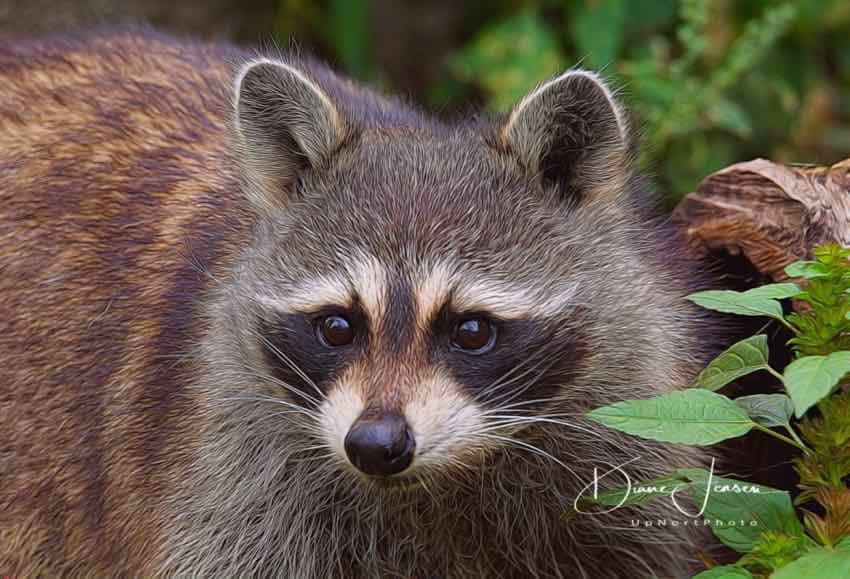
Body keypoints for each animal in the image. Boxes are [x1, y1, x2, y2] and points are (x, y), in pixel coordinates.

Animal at [1, 28, 708, 579]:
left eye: (471, 330)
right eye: (338, 326)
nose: (374, 443)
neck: (448, 478)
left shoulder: (627, 437)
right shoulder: (231, 468)